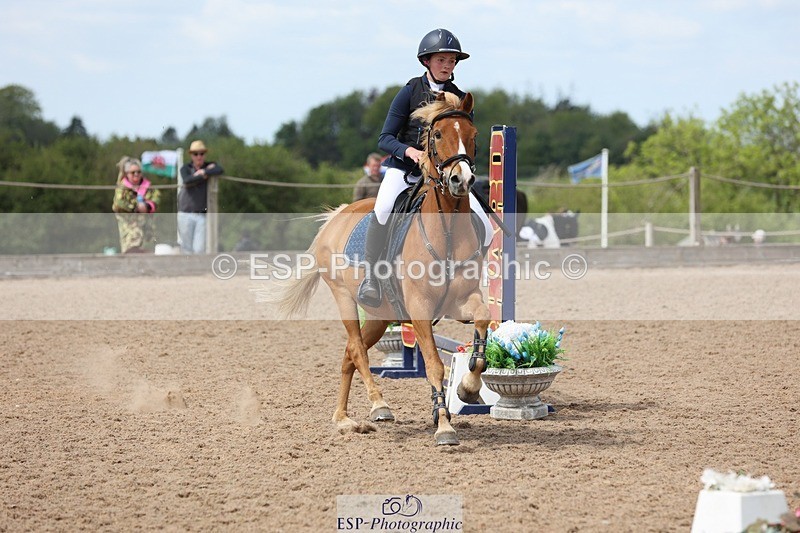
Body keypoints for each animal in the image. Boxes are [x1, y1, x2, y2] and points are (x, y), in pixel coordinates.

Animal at [274, 92, 490, 446]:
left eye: (474, 136)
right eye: (437, 135)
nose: (461, 180)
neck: (446, 232)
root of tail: (335, 217)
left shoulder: (462, 301)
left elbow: (483, 320)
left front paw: (468, 389)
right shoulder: (419, 309)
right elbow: (434, 365)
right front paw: (444, 426)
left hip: (379, 315)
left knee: (349, 352)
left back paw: (343, 418)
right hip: (345, 299)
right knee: (358, 351)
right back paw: (379, 405)